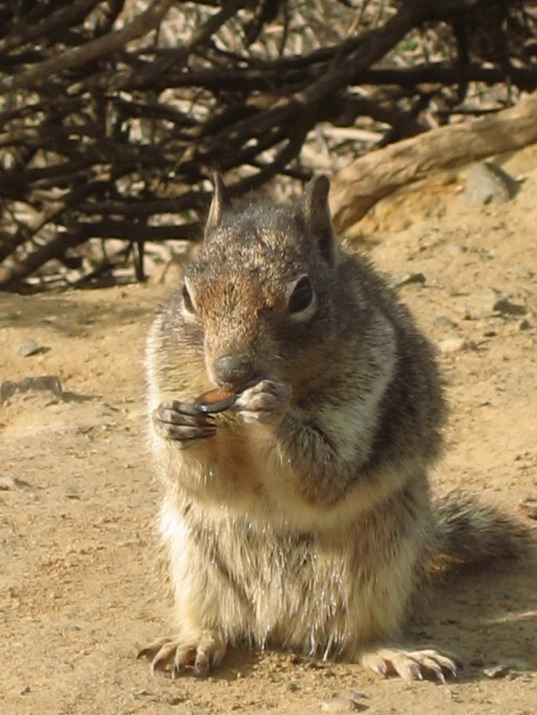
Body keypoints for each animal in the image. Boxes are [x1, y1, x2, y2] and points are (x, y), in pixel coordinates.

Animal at [139, 173, 532, 684]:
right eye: (187, 295)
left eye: (302, 295)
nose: (231, 372)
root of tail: (282, 628)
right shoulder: (167, 372)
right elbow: (203, 476)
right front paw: (172, 422)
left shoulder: (365, 387)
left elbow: (325, 474)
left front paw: (273, 409)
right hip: (195, 563)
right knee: (217, 625)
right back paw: (192, 641)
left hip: (386, 562)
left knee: (363, 635)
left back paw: (398, 653)